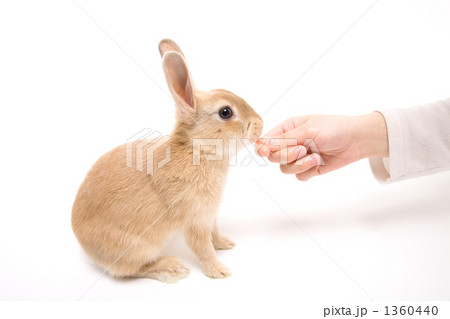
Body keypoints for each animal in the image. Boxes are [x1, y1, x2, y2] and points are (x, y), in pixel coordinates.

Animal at [71, 38, 264, 284]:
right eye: (226, 112)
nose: (260, 124)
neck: (196, 151)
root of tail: (83, 243)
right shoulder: (193, 220)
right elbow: (202, 248)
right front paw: (219, 271)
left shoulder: (209, 216)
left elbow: (215, 232)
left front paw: (226, 244)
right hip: (137, 247)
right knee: (130, 270)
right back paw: (173, 268)